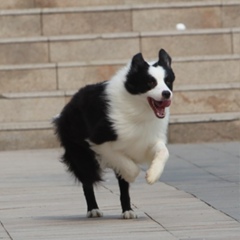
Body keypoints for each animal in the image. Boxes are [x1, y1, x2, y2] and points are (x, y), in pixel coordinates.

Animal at [54, 49, 174, 219]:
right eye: (150, 83)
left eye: (168, 81)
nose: (166, 94)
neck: (138, 109)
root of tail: (69, 103)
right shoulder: (99, 140)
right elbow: (129, 167)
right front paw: (132, 175)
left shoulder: (146, 140)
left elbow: (163, 151)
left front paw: (152, 175)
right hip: (80, 153)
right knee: (87, 180)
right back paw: (93, 209)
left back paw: (128, 211)